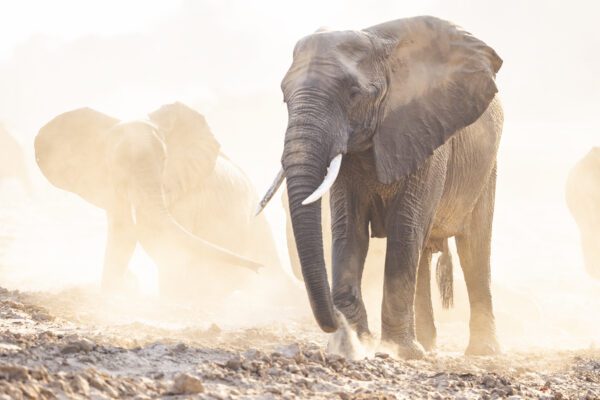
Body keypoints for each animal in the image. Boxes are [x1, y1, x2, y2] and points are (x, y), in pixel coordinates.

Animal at [36, 102, 280, 300]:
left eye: (164, 159)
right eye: (116, 165)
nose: (257, 267)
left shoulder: (188, 195)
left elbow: (167, 244)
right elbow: (123, 233)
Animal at [260, 15, 504, 360]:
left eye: (353, 93)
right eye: (284, 97)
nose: (335, 324)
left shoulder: (425, 135)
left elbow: (405, 228)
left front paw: (393, 350)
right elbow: (349, 228)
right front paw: (353, 345)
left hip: (486, 166)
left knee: (474, 248)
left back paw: (481, 351)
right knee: (423, 254)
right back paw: (426, 344)